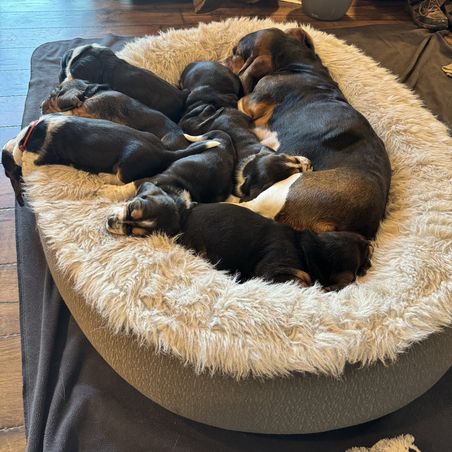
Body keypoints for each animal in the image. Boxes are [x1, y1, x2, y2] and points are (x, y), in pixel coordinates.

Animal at [106, 130, 237, 237]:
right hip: (193, 146)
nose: (110, 221)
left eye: (132, 232)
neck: (174, 196)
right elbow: (127, 187)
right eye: (131, 208)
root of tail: (227, 145)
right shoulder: (144, 180)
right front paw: (105, 188)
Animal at [226, 28, 391, 239]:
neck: (298, 61)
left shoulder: (249, 104)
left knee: (244, 205)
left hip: (282, 190)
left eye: (236, 52)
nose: (223, 60)